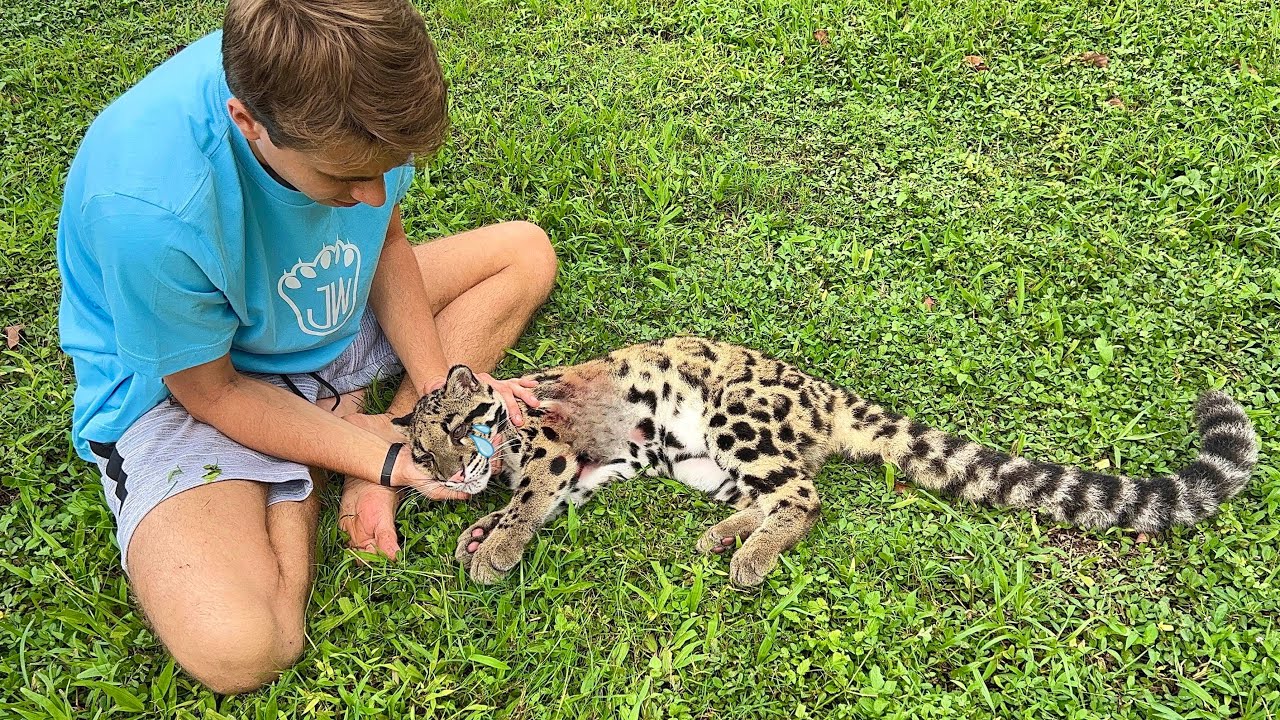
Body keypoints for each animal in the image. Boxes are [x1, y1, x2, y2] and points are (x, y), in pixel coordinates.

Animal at [393, 336, 1257, 587]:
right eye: (424, 450)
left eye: (462, 424)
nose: (454, 471)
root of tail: (823, 389)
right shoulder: (590, 469)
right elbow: (537, 502)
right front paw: (480, 533)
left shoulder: (554, 450)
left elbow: (530, 499)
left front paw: (495, 545)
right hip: (697, 460)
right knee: (777, 492)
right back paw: (728, 535)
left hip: (730, 418)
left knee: (806, 495)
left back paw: (750, 556)